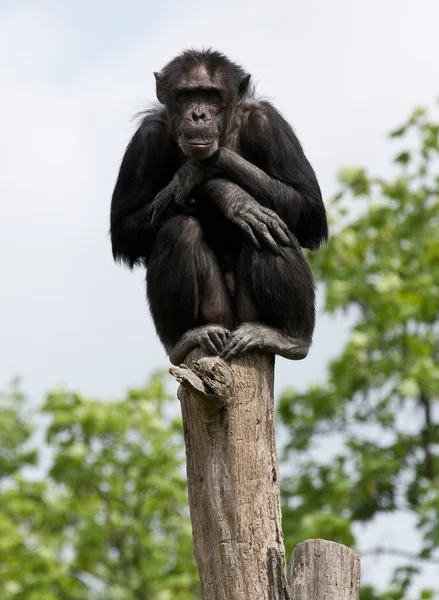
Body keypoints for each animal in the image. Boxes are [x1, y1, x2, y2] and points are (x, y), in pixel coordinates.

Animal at [111, 48, 328, 366]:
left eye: (212, 95)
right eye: (186, 95)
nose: (198, 114)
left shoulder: (269, 124)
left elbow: (309, 209)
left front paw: (202, 173)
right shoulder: (145, 139)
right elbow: (123, 229)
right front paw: (224, 192)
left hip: (248, 317)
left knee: (270, 229)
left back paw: (289, 338)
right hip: (219, 314)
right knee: (180, 227)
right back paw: (186, 338)